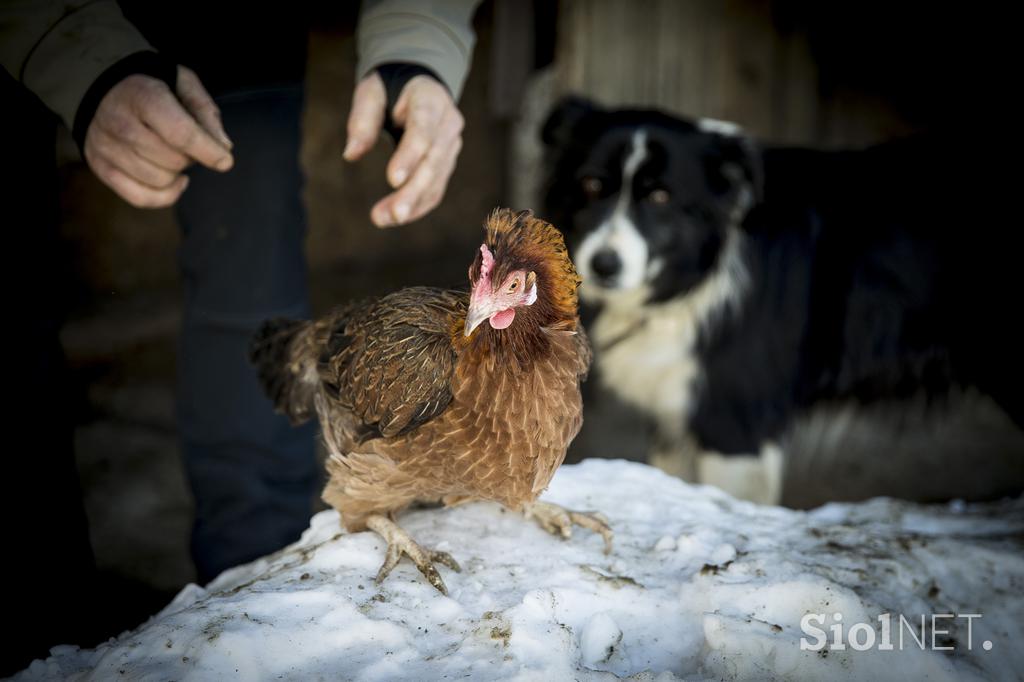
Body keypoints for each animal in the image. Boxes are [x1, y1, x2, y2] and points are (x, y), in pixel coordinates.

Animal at [540, 96, 1019, 499]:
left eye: (660, 196)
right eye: (591, 185)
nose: (604, 265)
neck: (701, 274)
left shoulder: (737, 419)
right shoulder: (676, 415)